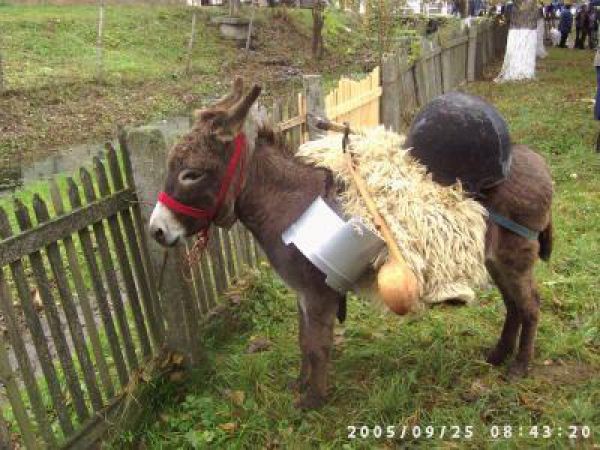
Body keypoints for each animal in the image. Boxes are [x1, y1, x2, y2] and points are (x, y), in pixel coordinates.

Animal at [148, 78, 554, 409]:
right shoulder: (302, 292)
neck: (292, 202)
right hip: (496, 261)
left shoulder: (319, 293)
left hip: (515, 259)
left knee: (530, 306)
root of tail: (536, 161)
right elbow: (303, 339)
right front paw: (300, 386)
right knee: (514, 306)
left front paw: (313, 401)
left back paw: (519, 367)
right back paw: (498, 355)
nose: (157, 231)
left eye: (191, 174)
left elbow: (317, 345)